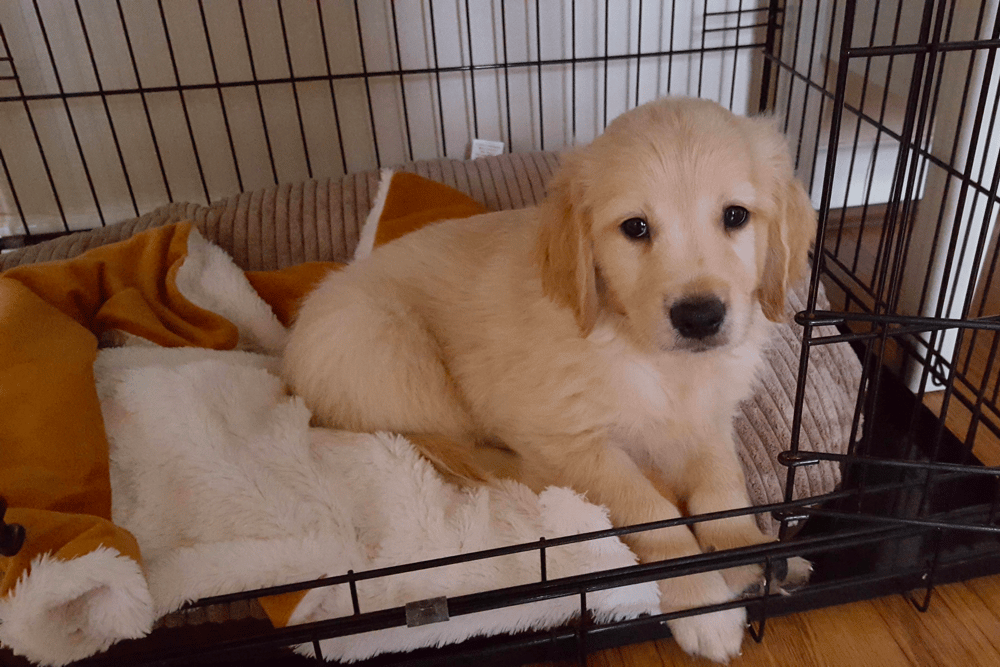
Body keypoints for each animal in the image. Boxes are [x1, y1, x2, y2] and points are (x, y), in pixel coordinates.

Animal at [286, 96, 816, 664]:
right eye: (635, 228)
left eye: (736, 215)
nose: (699, 317)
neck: (648, 354)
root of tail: (289, 349)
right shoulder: (564, 436)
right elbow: (648, 512)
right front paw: (704, 602)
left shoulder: (709, 419)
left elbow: (723, 488)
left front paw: (747, 555)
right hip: (397, 356)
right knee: (474, 454)